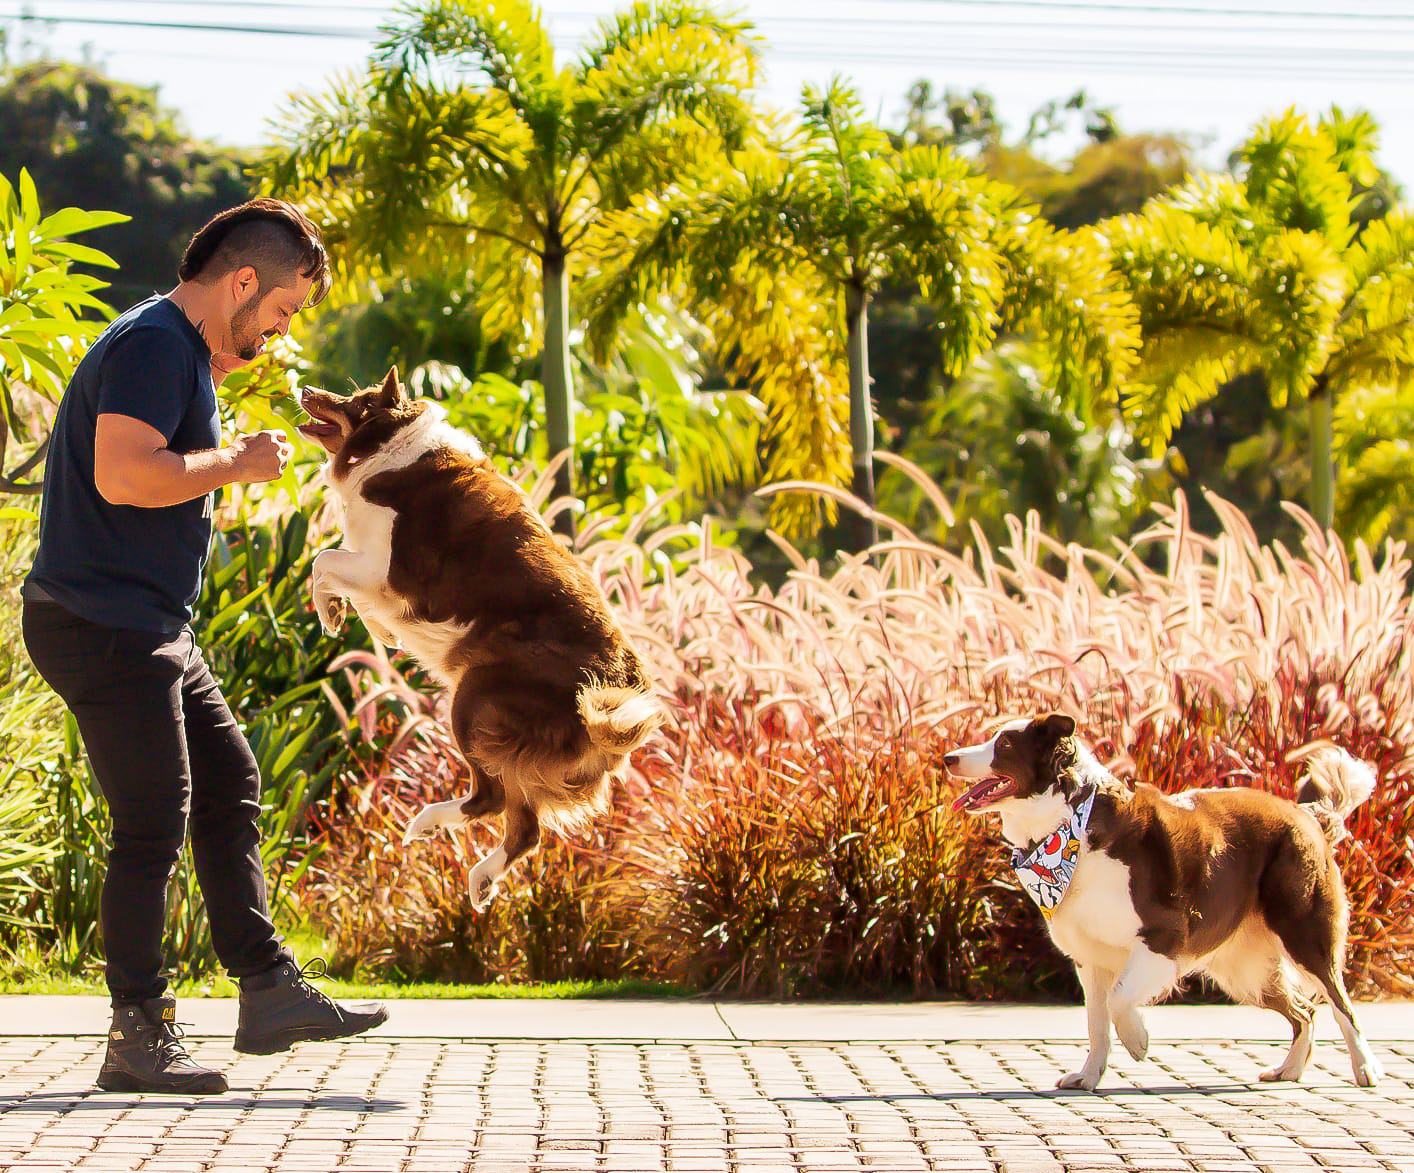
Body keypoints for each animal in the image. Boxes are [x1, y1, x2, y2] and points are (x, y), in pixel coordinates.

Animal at [295, 367, 664, 910]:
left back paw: (430, 824)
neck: (395, 448)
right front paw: (373, 627)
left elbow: (324, 560)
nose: (303, 387)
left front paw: (334, 611)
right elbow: (339, 572)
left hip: (473, 699)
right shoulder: (377, 574)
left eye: (355, 402)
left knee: (492, 800)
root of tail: (621, 690)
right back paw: (480, 875)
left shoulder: (391, 572)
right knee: (526, 830)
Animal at [938, 717, 1380, 1091]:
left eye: (1004, 744)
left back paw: (1365, 1069)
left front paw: (1138, 1040)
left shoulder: (1163, 937)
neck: (1067, 826)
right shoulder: (1089, 957)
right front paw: (1088, 1076)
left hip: (1303, 935)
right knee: (1304, 1011)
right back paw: (1290, 1069)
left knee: (1342, 1005)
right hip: (1242, 967)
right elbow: (1096, 1022)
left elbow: (1118, 999)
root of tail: (1307, 815)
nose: (948, 758)